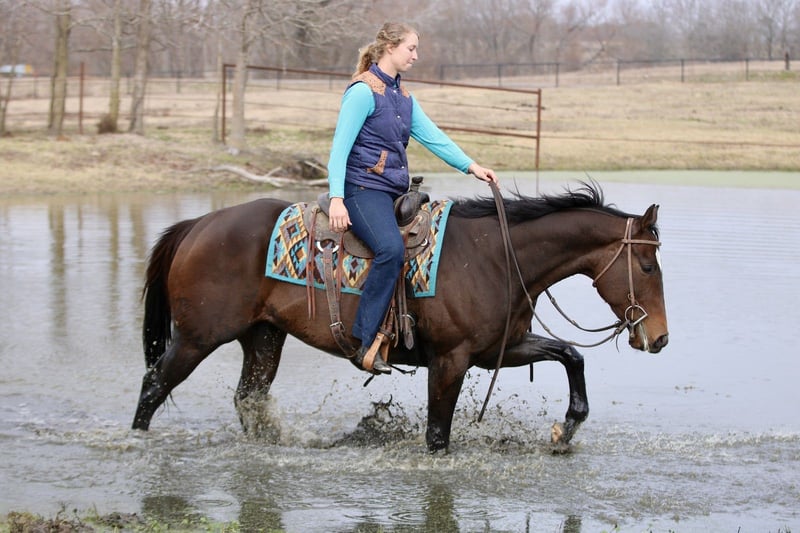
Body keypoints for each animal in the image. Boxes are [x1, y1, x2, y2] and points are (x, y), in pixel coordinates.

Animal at [132, 182, 668, 452]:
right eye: (646, 264)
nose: (660, 338)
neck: (495, 257)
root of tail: (198, 225)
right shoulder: (450, 361)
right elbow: (437, 436)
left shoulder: (501, 348)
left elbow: (570, 354)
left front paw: (566, 428)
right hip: (199, 338)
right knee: (155, 384)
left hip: (262, 338)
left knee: (249, 399)